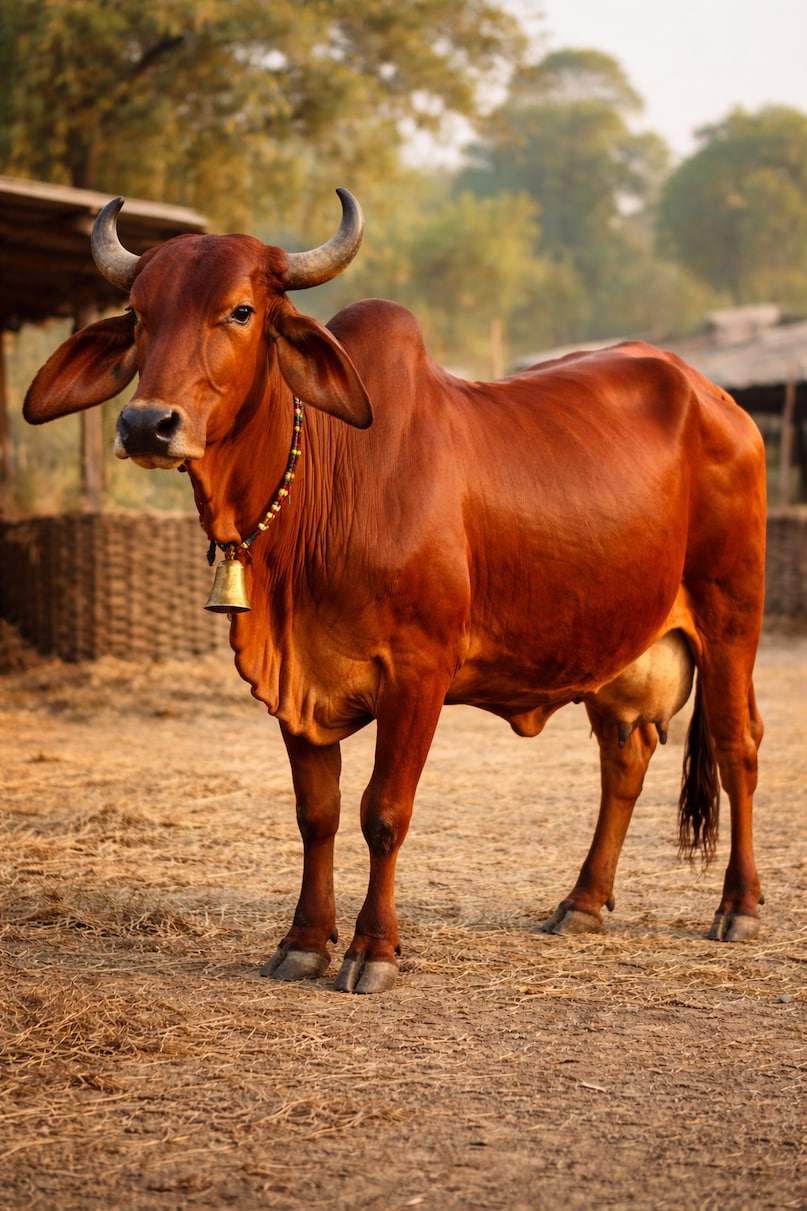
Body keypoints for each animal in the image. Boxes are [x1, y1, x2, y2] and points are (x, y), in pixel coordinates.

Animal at [24, 190, 767, 994]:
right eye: (138, 314)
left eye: (240, 311)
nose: (145, 424)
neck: (324, 484)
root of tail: (716, 398)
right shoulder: (295, 679)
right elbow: (315, 813)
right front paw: (303, 941)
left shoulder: (419, 671)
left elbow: (384, 811)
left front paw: (372, 949)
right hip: (618, 646)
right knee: (625, 757)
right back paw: (582, 903)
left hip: (731, 617)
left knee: (738, 746)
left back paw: (738, 906)